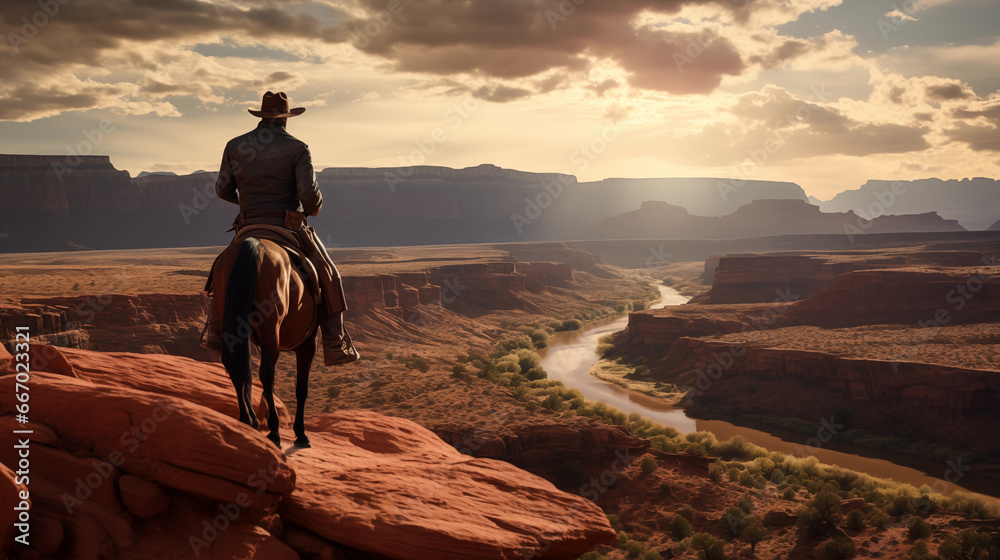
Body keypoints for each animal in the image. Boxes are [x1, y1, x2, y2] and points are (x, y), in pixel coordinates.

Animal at [212, 236, 316, 450]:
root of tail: (253, 244)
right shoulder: (308, 344)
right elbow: (301, 388)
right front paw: (301, 434)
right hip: (271, 325)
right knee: (267, 373)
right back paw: (274, 432)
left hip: (228, 317)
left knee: (235, 365)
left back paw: (247, 419)